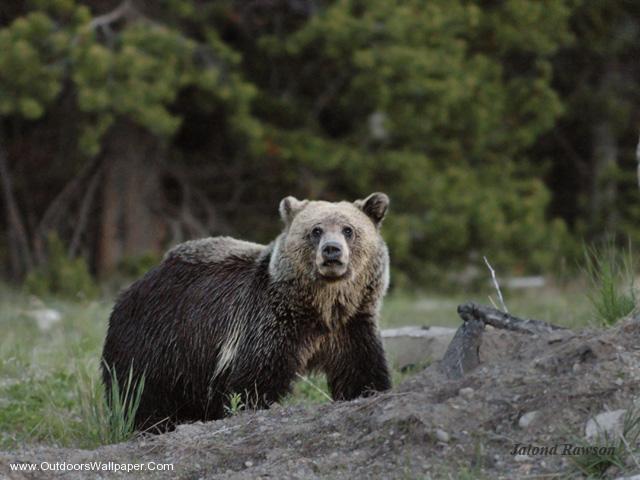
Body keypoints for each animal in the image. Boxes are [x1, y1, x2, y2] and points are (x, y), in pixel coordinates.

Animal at [102, 193, 392, 430]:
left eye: (348, 229)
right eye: (316, 230)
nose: (332, 251)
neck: (320, 309)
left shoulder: (351, 325)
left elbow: (362, 371)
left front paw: (369, 392)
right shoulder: (269, 323)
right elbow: (253, 380)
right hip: (157, 340)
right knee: (139, 392)